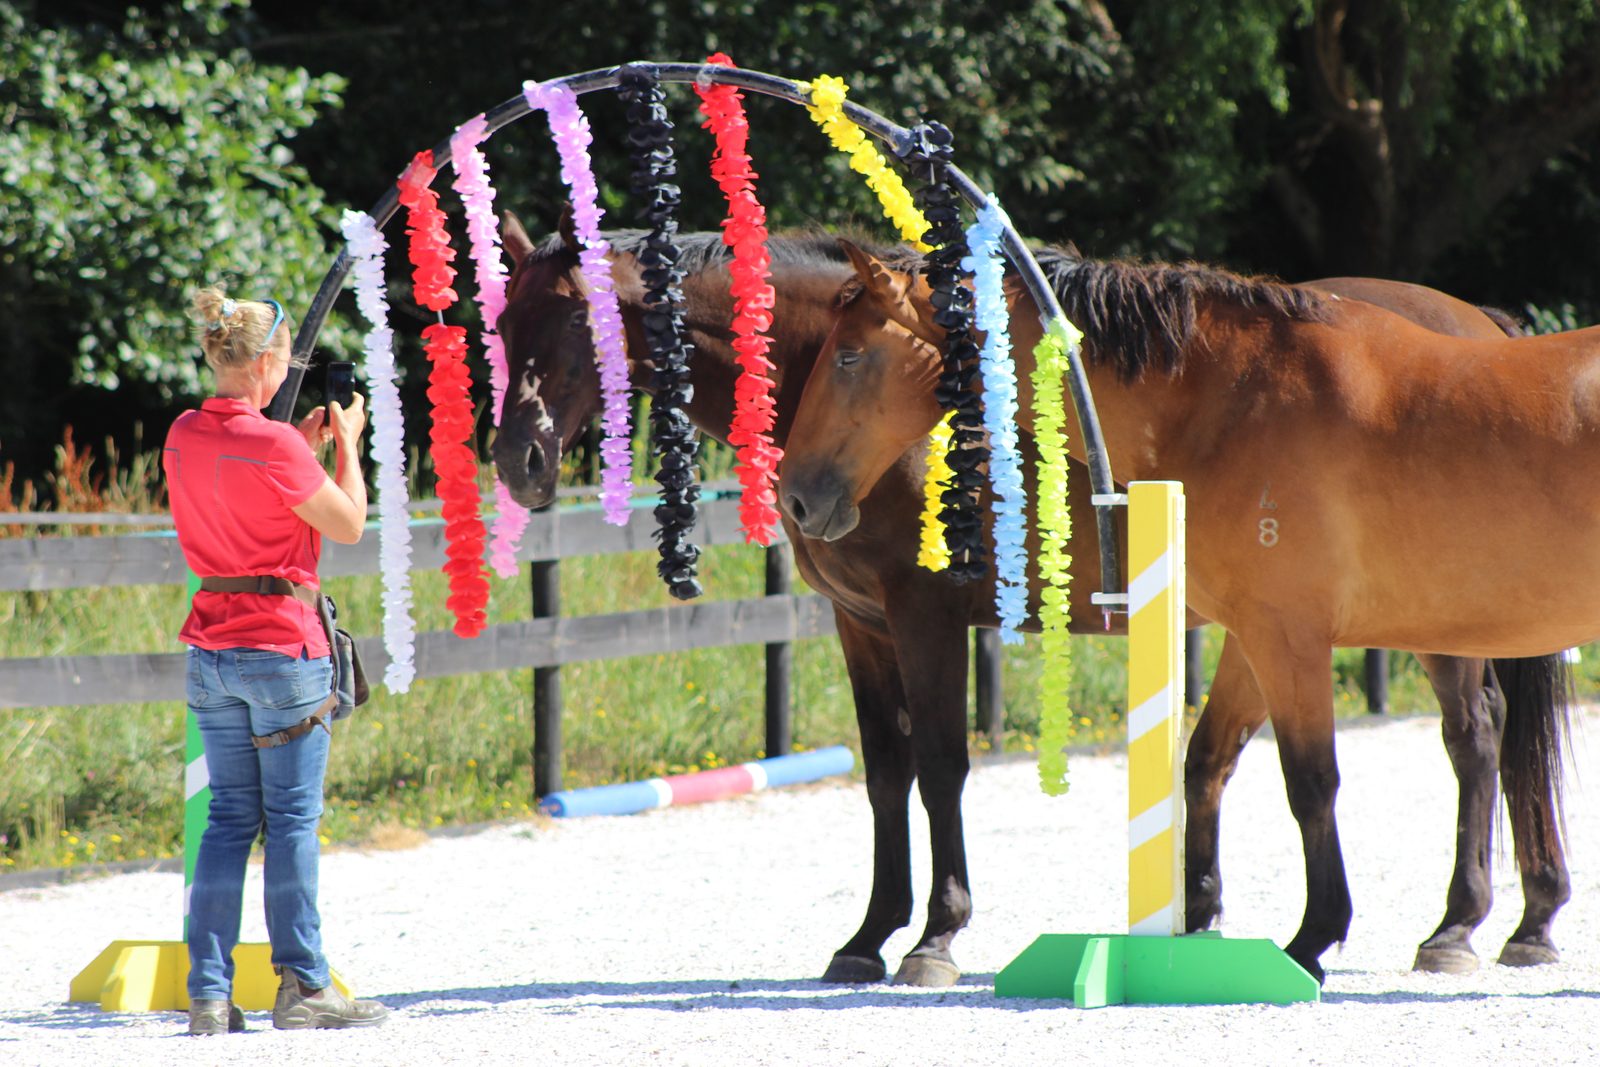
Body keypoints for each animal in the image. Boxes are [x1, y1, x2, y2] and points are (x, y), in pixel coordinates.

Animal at [492, 217, 1569, 984]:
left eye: (567, 324)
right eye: (496, 327)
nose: (519, 459)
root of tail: (1480, 325)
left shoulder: (923, 617)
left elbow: (939, 767)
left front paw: (935, 934)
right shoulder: (859, 622)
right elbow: (884, 771)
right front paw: (867, 934)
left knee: (1473, 735)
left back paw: (1461, 922)